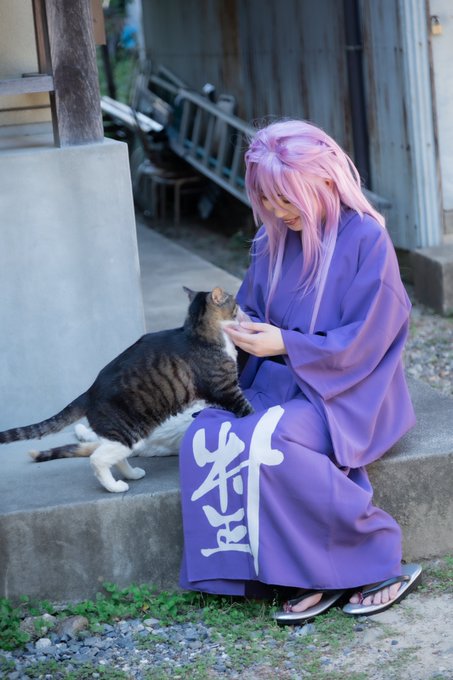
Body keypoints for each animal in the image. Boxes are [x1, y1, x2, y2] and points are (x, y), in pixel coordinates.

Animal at [0, 287, 253, 493]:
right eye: (235, 303)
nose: (243, 309)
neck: (199, 333)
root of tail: (88, 393)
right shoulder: (226, 389)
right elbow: (247, 409)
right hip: (128, 433)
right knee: (97, 459)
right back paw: (115, 486)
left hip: (131, 437)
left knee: (111, 454)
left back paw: (132, 474)